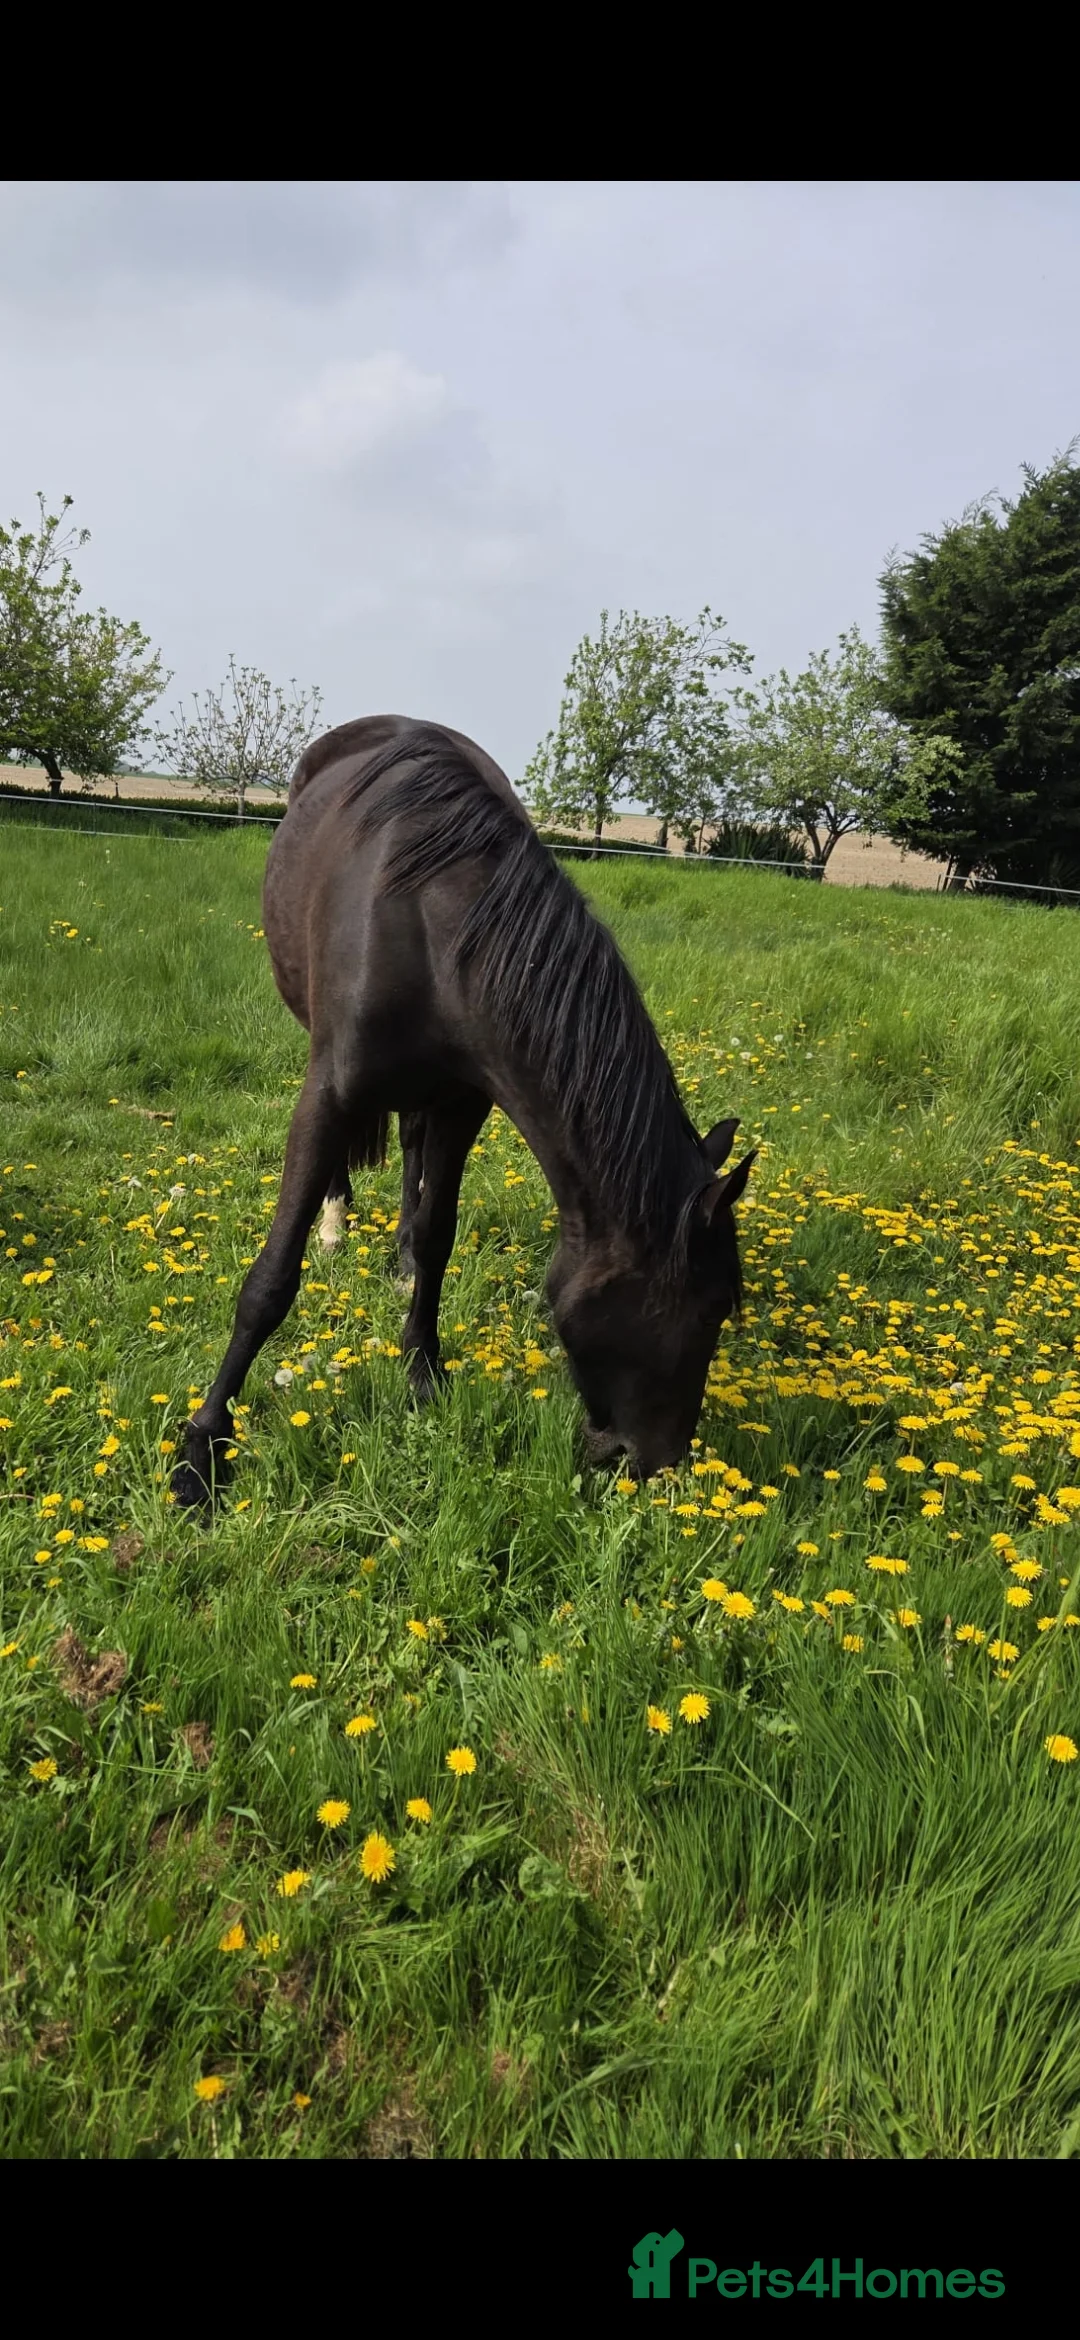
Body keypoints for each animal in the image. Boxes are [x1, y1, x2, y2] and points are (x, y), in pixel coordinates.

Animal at [171, 714, 754, 1507]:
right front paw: (203, 1449)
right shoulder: (330, 1091)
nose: (656, 1462)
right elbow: (270, 1280)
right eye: (714, 1306)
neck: (433, 927)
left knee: (413, 1154)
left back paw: (396, 1253)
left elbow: (438, 1234)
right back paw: (335, 1221)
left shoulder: (464, 1102)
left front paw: (422, 1368)